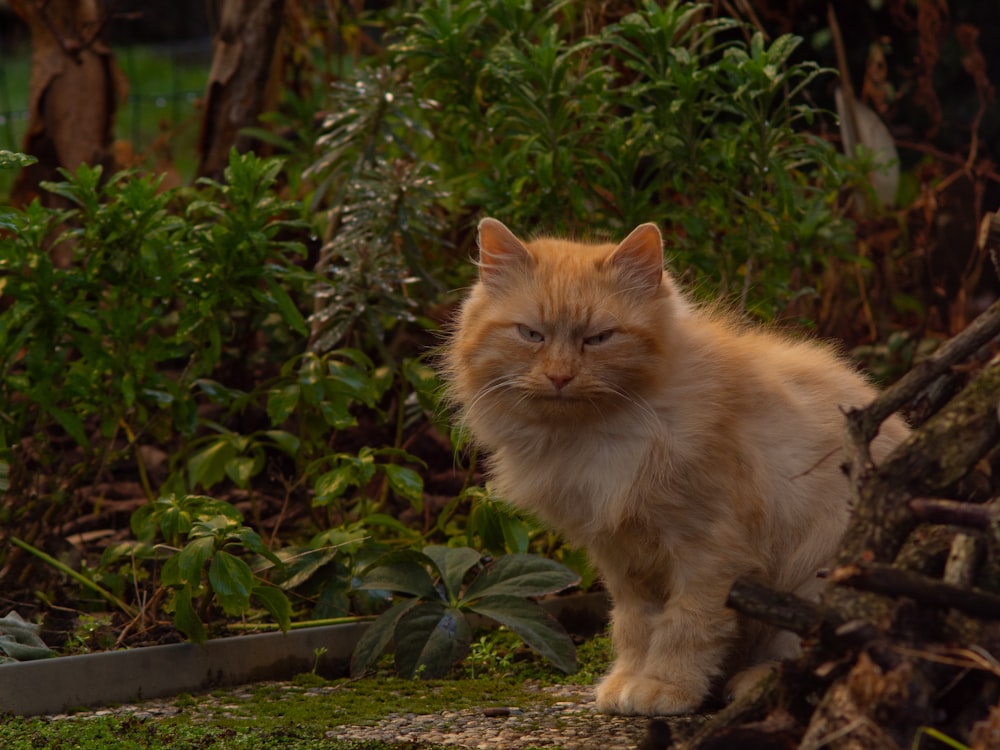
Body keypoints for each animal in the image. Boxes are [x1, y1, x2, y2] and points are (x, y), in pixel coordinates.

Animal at [442, 217, 912, 716]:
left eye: (598, 338)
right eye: (531, 335)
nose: (560, 376)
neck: (594, 437)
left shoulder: (711, 549)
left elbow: (687, 626)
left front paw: (664, 687)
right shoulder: (623, 557)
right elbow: (633, 627)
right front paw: (626, 681)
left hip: (815, 581)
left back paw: (756, 684)